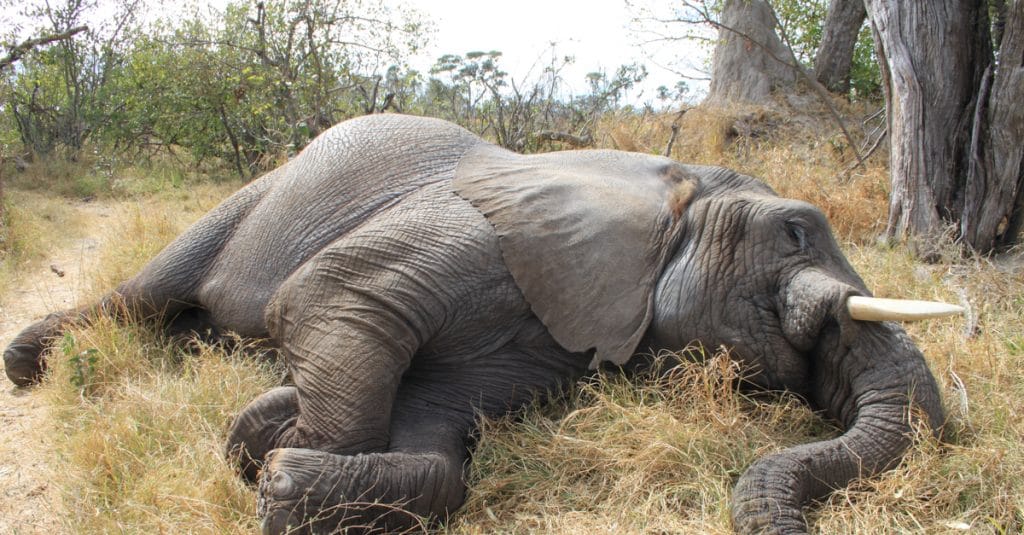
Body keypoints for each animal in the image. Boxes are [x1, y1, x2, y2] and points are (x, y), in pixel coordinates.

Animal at [2, 113, 950, 532]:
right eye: (795, 231)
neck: (655, 182)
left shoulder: (556, 341)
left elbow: (439, 441)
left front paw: (274, 454)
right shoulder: (476, 232)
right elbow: (333, 292)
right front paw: (266, 455)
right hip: (255, 194)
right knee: (144, 292)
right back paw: (29, 363)